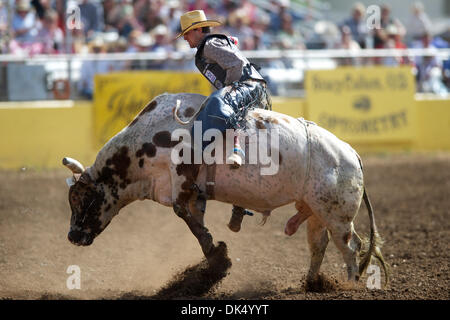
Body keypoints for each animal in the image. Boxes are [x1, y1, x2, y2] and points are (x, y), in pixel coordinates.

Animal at [64, 92, 390, 288]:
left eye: (86, 200)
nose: (72, 236)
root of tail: (352, 154)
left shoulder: (181, 177)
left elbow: (183, 213)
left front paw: (218, 256)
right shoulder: (194, 191)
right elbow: (195, 221)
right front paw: (214, 256)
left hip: (338, 215)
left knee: (349, 247)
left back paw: (348, 285)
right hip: (316, 210)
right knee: (319, 244)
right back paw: (311, 284)